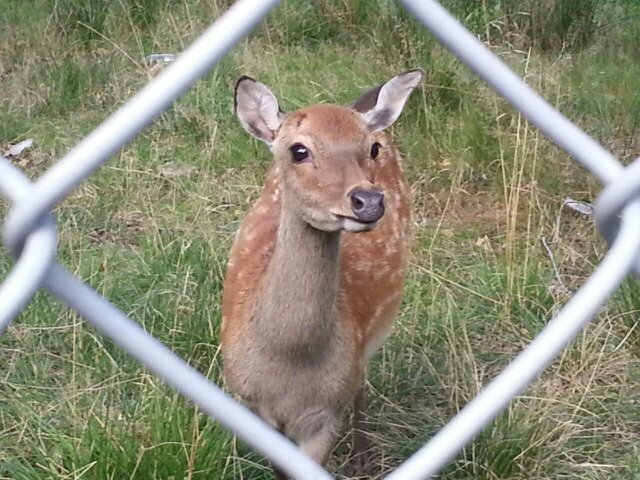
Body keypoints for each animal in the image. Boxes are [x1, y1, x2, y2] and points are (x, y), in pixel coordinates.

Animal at [222, 69, 422, 478]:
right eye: (299, 150)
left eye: (371, 148)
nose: (368, 201)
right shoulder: (255, 406)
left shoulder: (326, 415)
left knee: (362, 382)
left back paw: (362, 455)